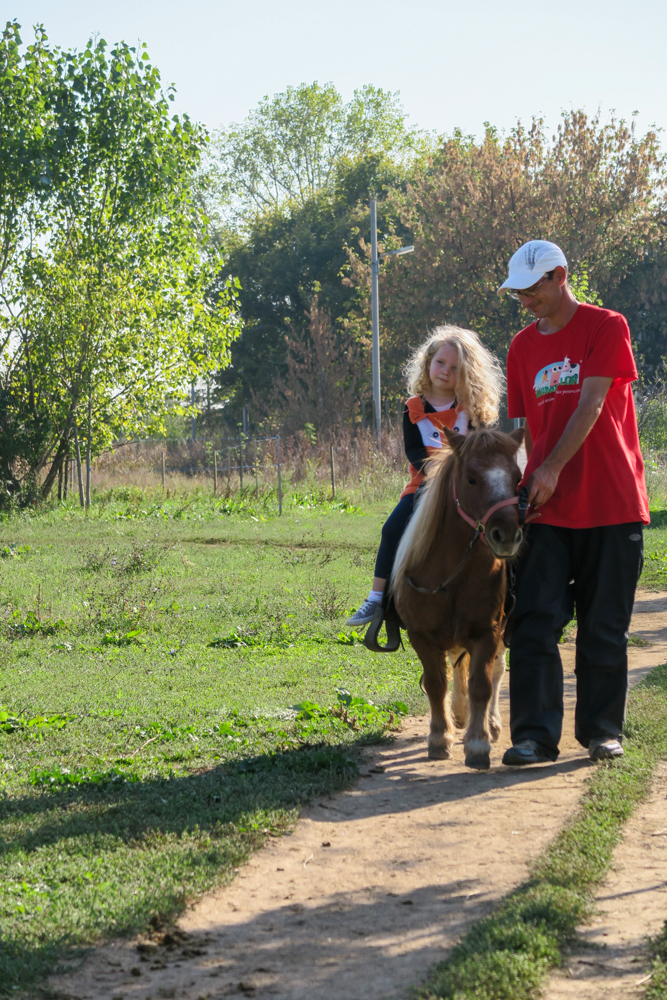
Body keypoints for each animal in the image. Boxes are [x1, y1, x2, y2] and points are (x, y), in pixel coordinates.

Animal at [392, 426, 528, 768]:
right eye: (471, 479)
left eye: (517, 477)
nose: (507, 536)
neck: (452, 572)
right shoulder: (421, 636)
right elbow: (435, 684)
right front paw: (440, 738)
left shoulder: (487, 632)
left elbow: (482, 684)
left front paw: (478, 743)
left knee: (496, 672)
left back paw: (490, 723)